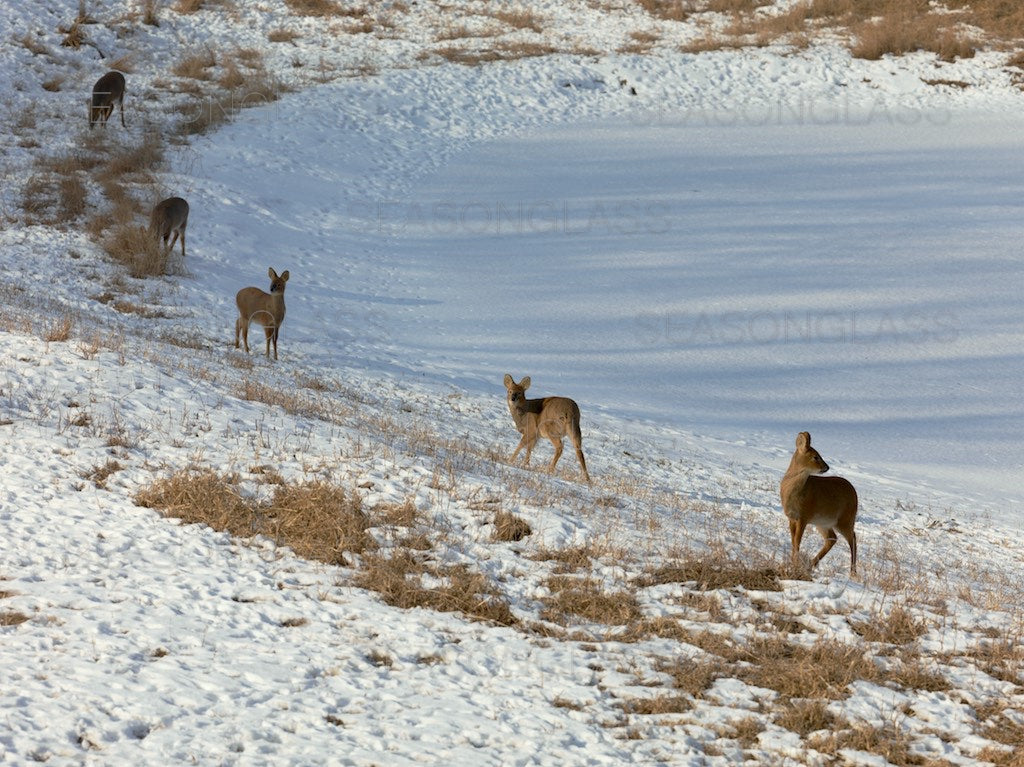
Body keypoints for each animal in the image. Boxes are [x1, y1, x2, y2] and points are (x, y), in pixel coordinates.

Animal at [782, 430, 856, 573]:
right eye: (816, 457)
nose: (826, 467)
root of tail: (855, 493)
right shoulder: (792, 517)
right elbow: (793, 541)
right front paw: (793, 562)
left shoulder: (804, 516)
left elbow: (797, 541)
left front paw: (795, 564)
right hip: (823, 522)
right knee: (832, 538)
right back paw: (811, 564)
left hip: (845, 519)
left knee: (853, 538)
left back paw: (853, 572)